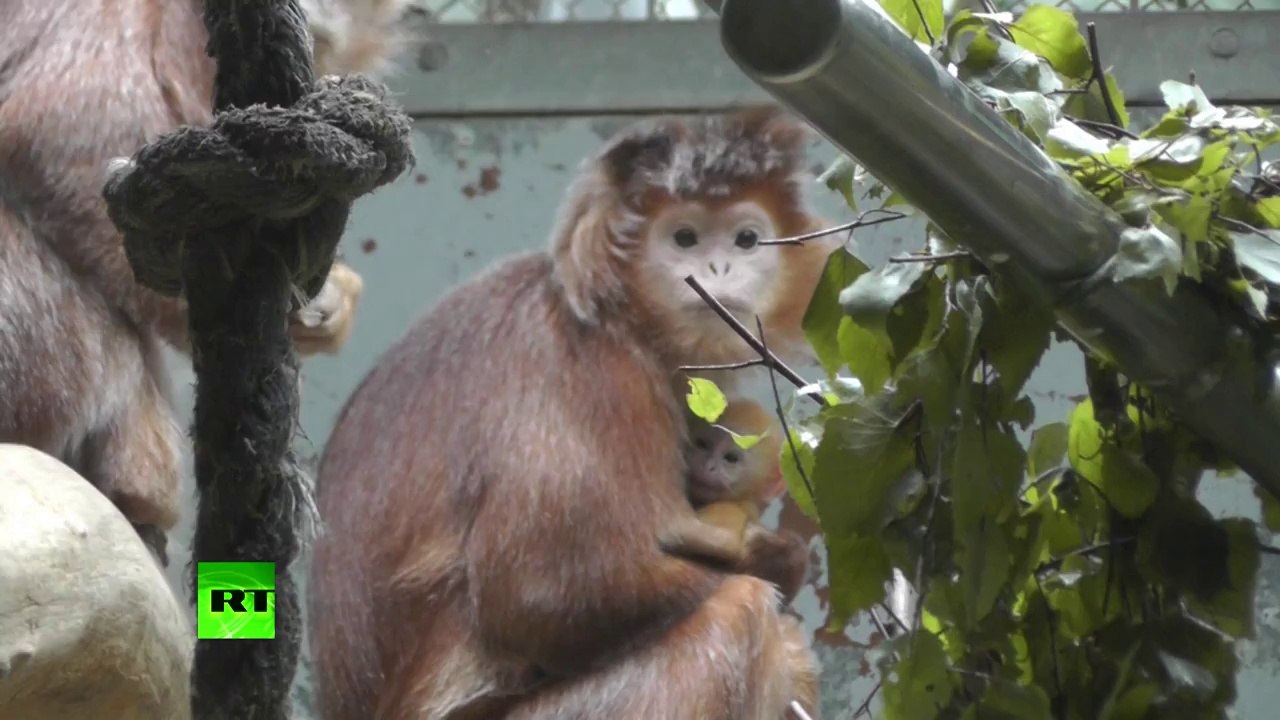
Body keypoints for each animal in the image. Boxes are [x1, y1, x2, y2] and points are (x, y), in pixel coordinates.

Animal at [308, 107, 837, 720]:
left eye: (747, 238)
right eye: (684, 237)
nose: (719, 266)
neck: (617, 318)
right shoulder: (598, 376)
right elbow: (547, 596)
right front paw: (779, 561)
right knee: (739, 612)